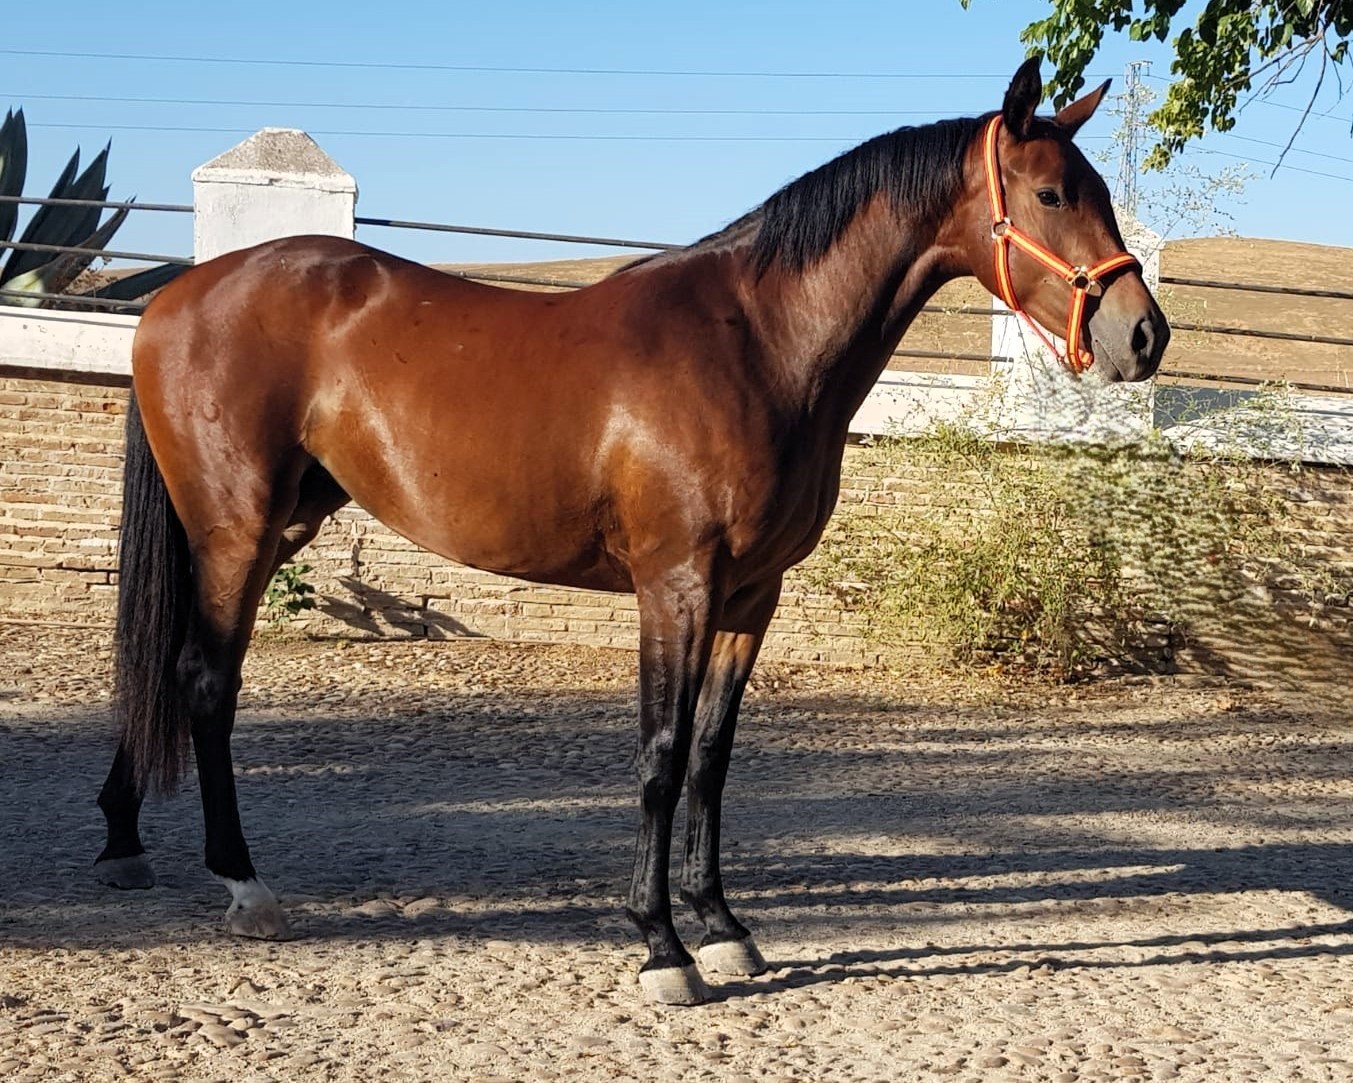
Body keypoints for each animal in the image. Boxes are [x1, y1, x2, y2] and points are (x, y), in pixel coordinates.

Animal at [96, 59, 1168, 1006]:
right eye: (1049, 192)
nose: (1142, 335)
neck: (757, 342)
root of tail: (176, 295)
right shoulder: (676, 585)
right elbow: (659, 754)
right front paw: (660, 946)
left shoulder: (751, 595)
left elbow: (710, 758)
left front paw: (722, 925)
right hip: (236, 530)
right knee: (204, 680)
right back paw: (243, 885)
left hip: (274, 525)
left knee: (161, 664)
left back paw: (123, 839)